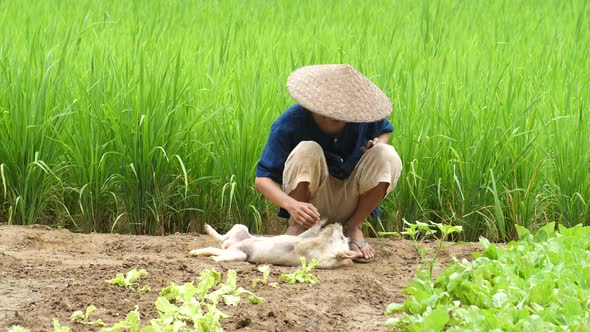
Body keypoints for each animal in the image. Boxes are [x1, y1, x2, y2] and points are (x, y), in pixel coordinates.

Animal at [192, 220, 364, 270]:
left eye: (341, 237)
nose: (339, 223)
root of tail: (230, 247)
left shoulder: (304, 249)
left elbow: (307, 240)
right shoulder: (302, 237)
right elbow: (308, 233)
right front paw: (321, 222)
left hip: (239, 255)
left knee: (217, 255)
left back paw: (205, 255)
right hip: (240, 228)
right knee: (221, 239)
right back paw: (206, 231)